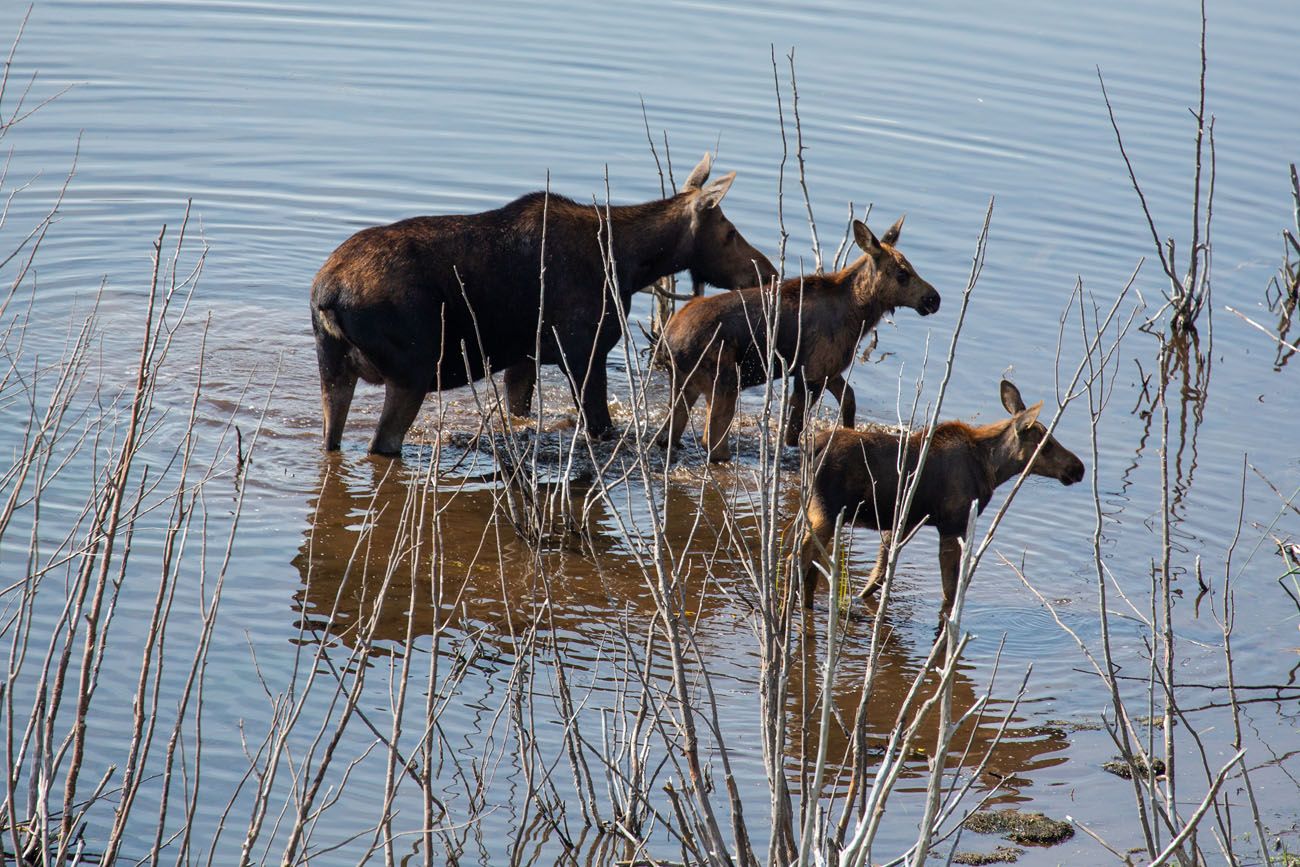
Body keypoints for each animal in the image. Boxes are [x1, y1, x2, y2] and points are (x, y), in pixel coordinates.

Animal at [305, 154, 774, 454]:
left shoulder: (524, 358)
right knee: (381, 445)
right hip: (413, 370)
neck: (628, 265)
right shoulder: (583, 352)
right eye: (729, 232)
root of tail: (327, 295)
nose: (766, 271)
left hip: (334, 371)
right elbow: (600, 428)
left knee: (333, 439)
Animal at [660, 214, 935, 465]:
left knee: (669, 433)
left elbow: (849, 400)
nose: (934, 299)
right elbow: (794, 433)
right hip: (725, 382)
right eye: (902, 274)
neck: (859, 316)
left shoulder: (828, 370)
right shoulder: (811, 373)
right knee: (712, 443)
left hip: (686, 383)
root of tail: (668, 342)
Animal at [790, 379, 1086, 616]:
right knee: (800, 557)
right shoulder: (952, 525)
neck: (991, 468)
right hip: (825, 513)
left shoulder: (901, 523)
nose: (1078, 468)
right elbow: (950, 591)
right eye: (1047, 445)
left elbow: (878, 575)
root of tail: (811, 448)